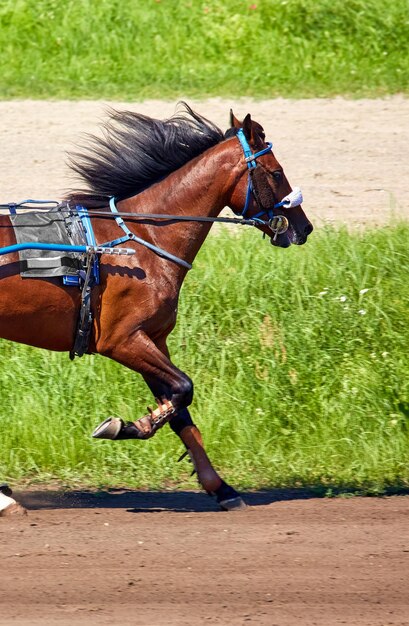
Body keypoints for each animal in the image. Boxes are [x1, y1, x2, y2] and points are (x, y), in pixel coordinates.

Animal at [0, 101, 312, 512]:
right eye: (276, 172)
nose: (303, 227)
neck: (142, 241)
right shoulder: (121, 340)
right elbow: (184, 387)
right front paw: (128, 426)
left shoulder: (151, 340)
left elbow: (181, 408)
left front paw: (222, 488)